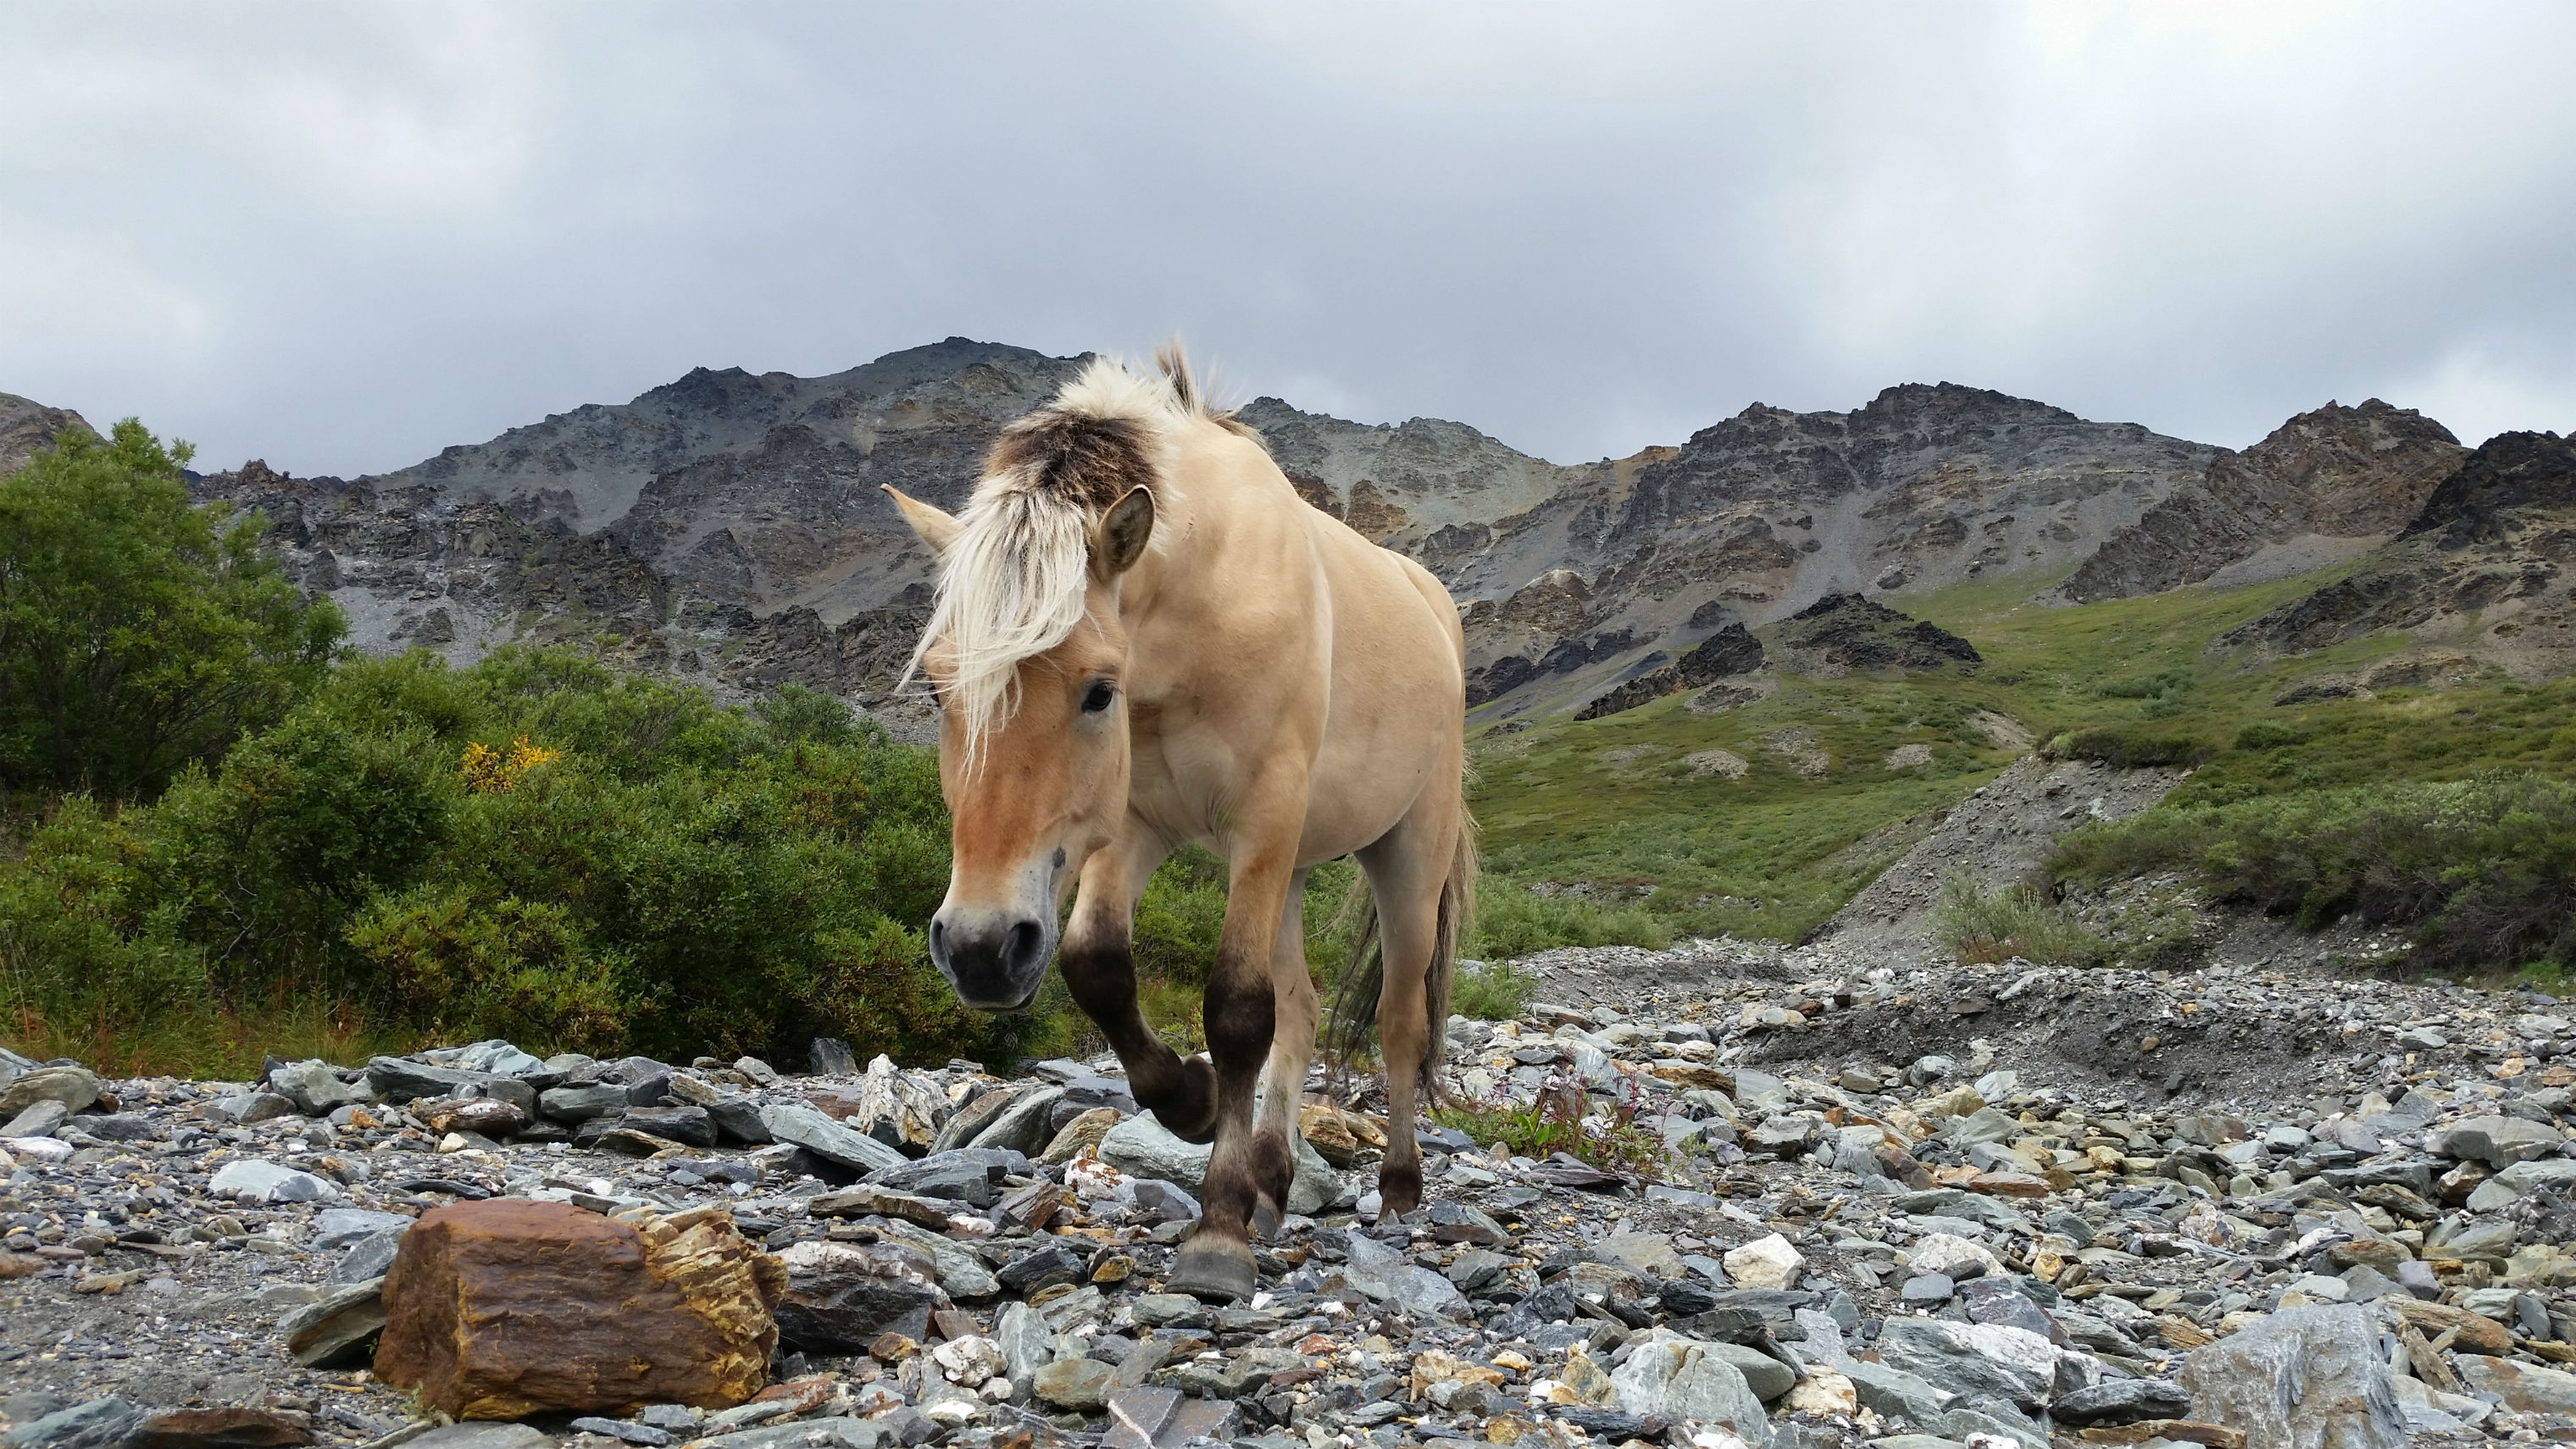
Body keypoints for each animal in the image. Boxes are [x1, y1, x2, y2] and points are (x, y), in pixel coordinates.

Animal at [883, 347, 1473, 1302]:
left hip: (1403, 855)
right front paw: (1190, 1102)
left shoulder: (1261, 823)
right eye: (938, 689)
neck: (1200, 610)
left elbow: (1235, 1011)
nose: (979, 949)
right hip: (1292, 871)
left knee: (1395, 1021)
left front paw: (1219, 1227)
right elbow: (1097, 965)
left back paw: (1396, 1188)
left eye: (1097, 690)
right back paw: (1274, 1178)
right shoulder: (1129, 826)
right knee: (1302, 1009)